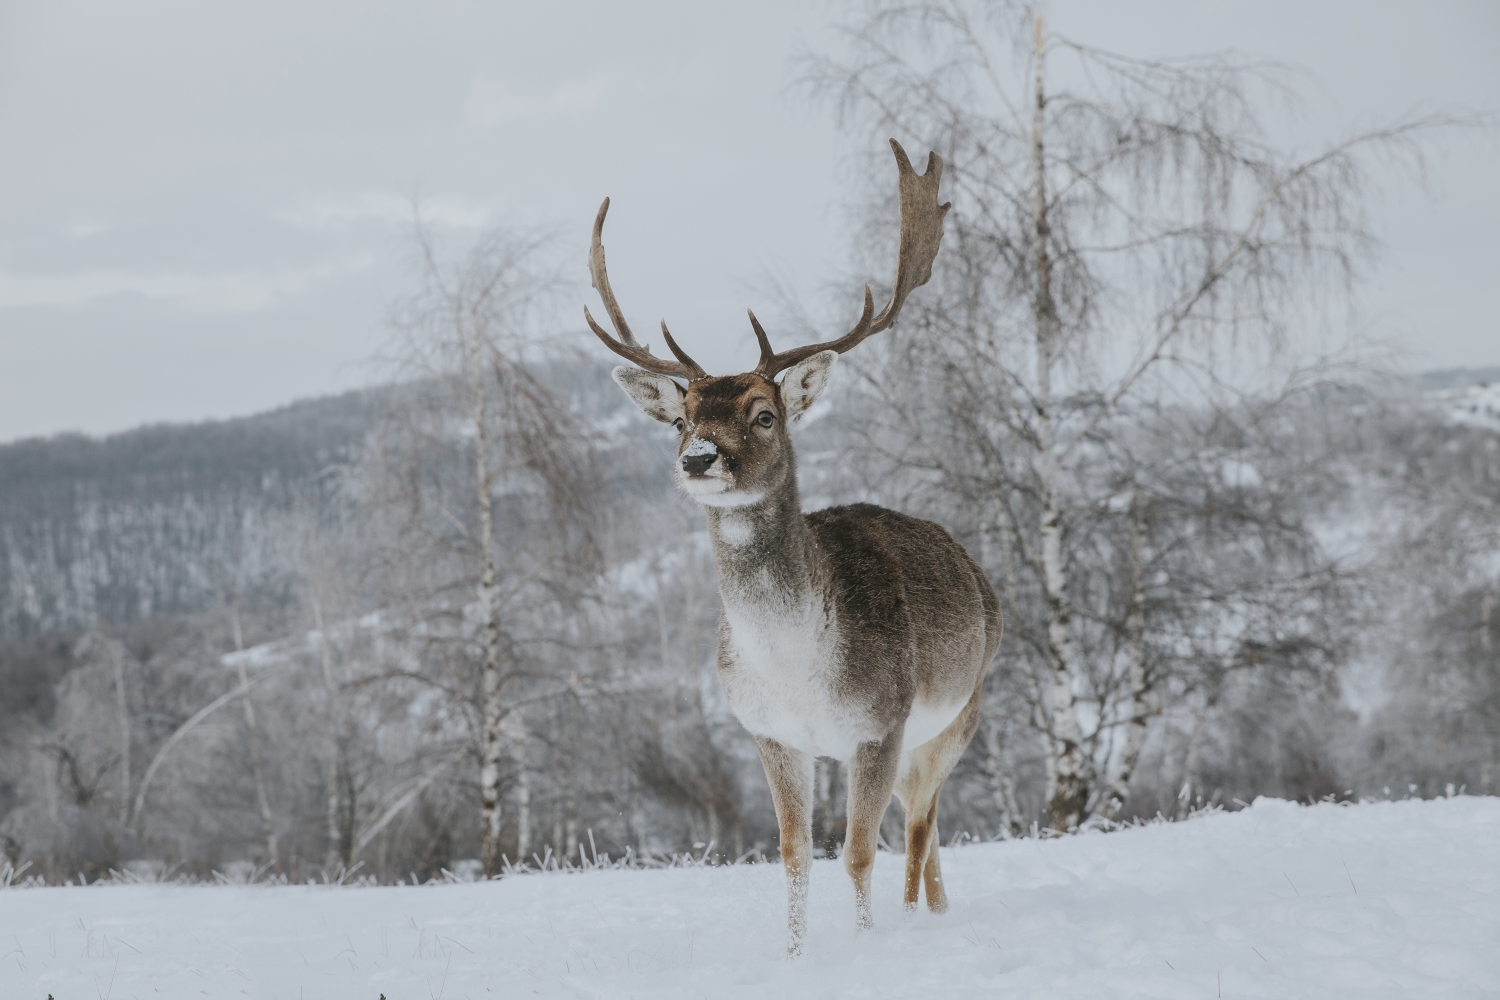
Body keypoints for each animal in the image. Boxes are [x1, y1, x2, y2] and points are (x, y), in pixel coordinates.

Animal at [591, 138, 1002, 953]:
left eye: (764, 415)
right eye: (680, 418)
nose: (699, 459)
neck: (798, 672)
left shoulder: (879, 723)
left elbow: (857, 853)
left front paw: (868, 944)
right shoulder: (771, 734)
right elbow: (792, 855)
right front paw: (794, 953)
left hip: (961, 708)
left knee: (920, 823)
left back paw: (919, 918)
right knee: (928, 821)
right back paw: (937, 910)